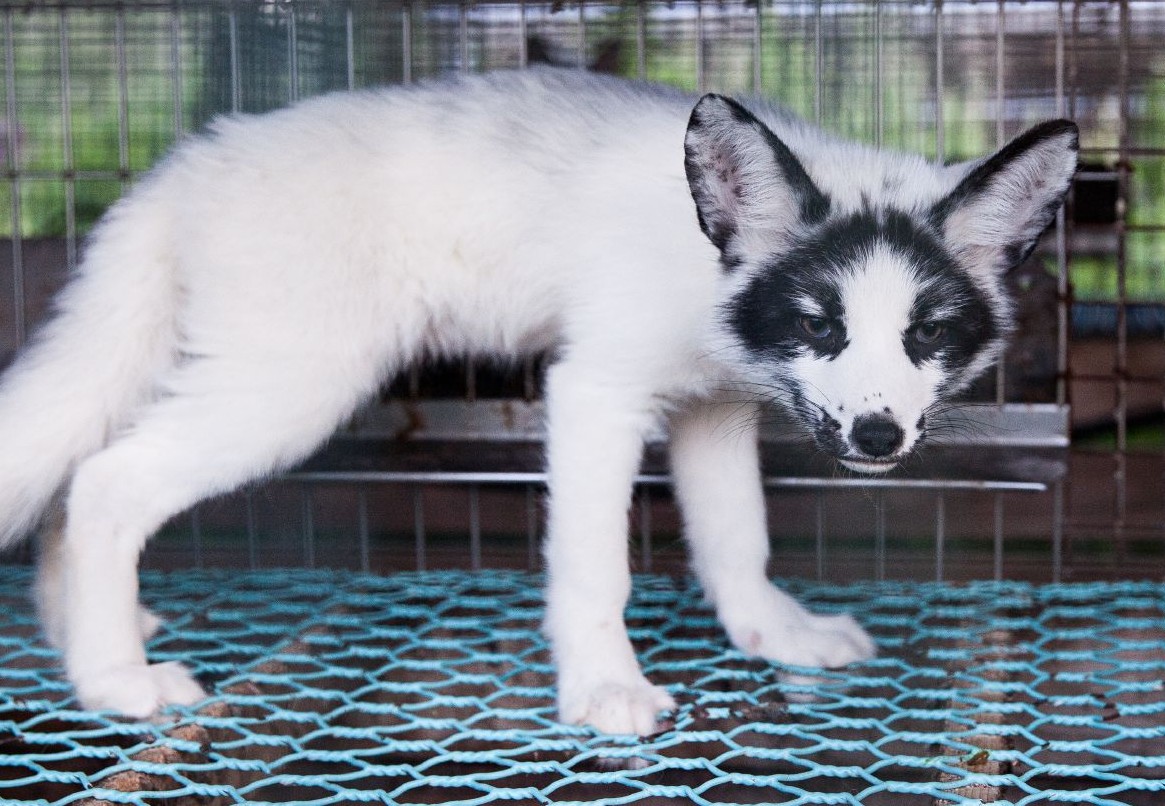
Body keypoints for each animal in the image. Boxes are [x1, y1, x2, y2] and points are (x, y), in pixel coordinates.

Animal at [0, 66, 1077, 735]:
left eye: (927, 332)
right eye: (819, 323)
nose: (877, 432)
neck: (705, 258)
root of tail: (183, 165)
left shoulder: (711, 409)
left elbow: (737, 542)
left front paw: (773, 634)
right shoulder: (595, 391)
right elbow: (596, 571)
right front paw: (604, 686)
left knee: (72, 481)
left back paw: (82, 640)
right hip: (287, 386)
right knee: (103, 483)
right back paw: (113, 681)